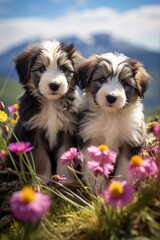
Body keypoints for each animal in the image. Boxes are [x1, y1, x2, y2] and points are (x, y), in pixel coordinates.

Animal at [6, 39, 83, 183]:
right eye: (41, 68)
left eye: (63, 68)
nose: (54, 85)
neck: (51, 103)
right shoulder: (33, 130)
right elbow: (40, 158)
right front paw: (41, 180)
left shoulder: (68, 130)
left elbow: (66, 157)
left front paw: (66, 180)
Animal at [77, 52, 151, 191]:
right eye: (101, 79)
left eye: (124, 82)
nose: (111, 97)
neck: (111, 115)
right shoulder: (90, 137)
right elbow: (92, 164)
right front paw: (95, 186)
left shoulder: (130, 141)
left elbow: (125, 168)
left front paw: (121, 186)